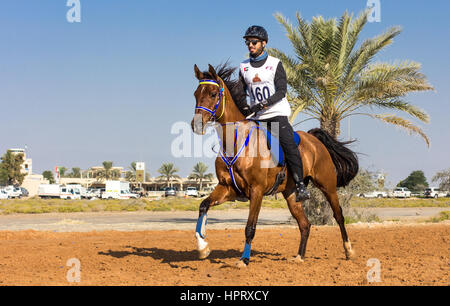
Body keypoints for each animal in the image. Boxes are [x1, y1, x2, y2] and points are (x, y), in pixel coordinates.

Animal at [190, 63, 358, 266]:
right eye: (196, 94)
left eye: (213, 93)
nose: (196, 125)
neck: (236, 142)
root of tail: (314, 139)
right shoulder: (227, 188)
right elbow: (203, 205)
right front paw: (202, 247)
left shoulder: (256, 190)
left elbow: (250, 227)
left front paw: (244, 260)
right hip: (291, 193)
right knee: (305, 224)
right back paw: (299, 257)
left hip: (328, 185)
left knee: (339, 215)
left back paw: (349, 251)